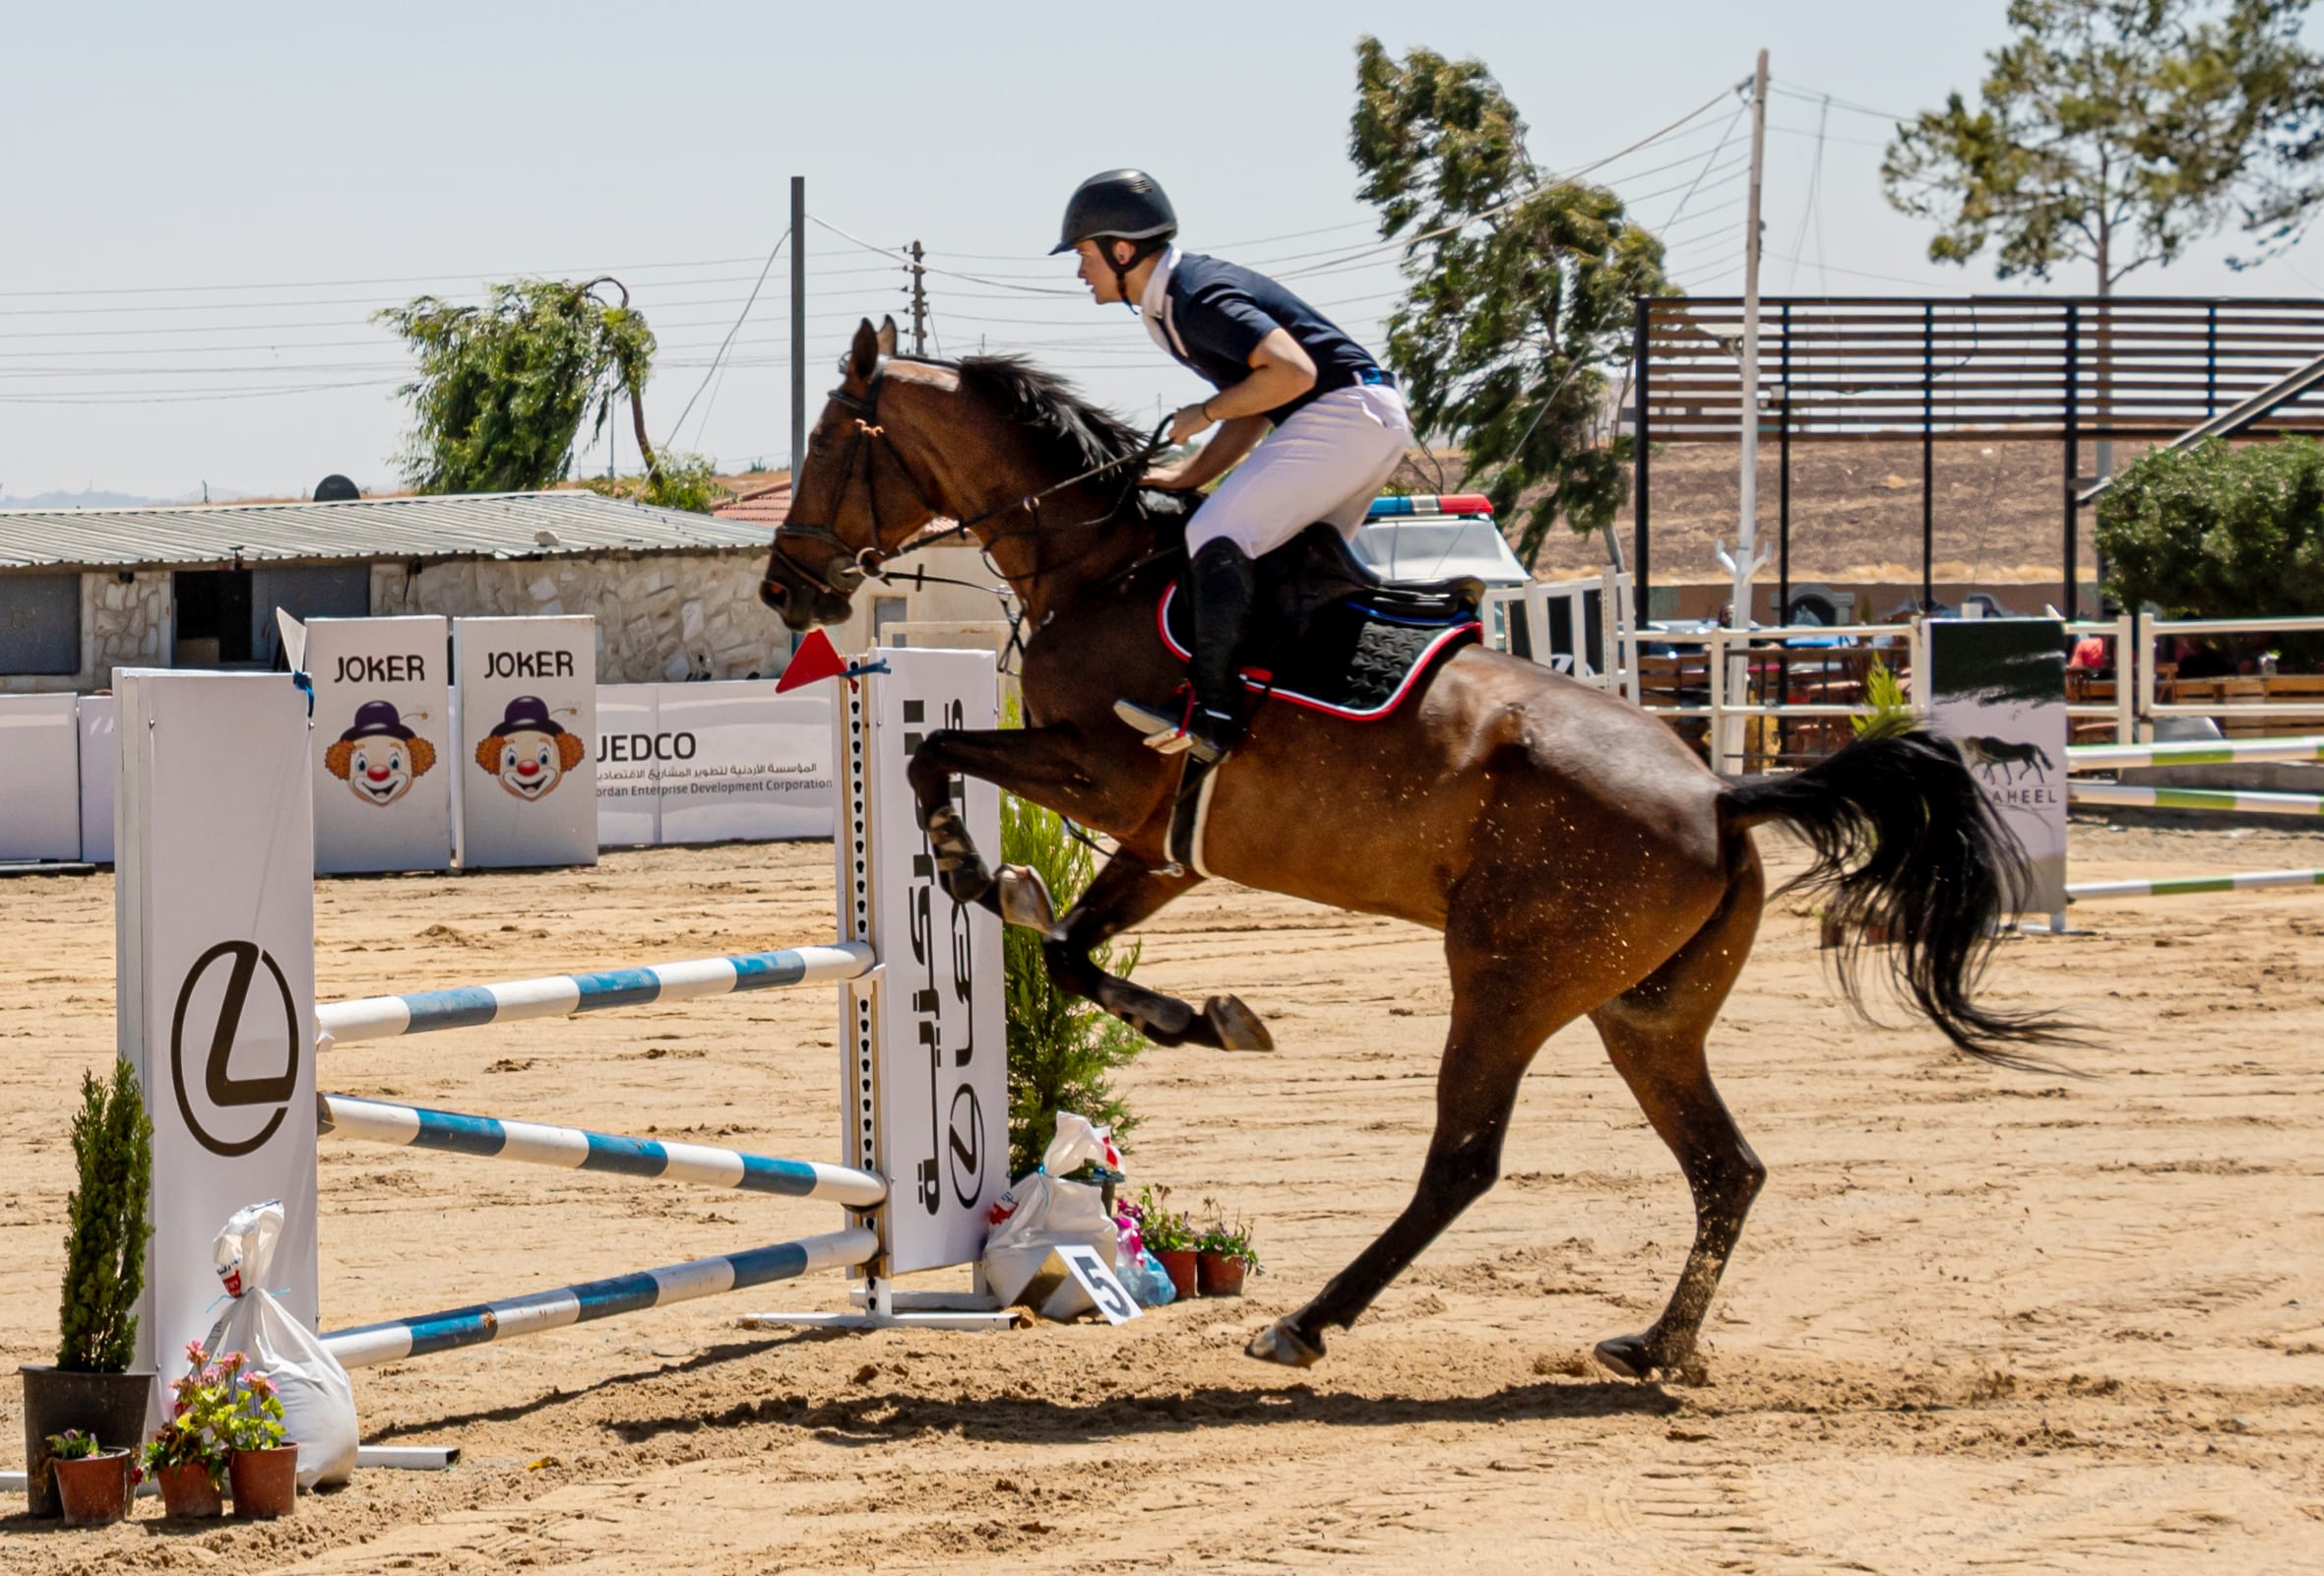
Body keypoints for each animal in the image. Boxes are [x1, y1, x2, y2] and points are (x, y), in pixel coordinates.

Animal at [761, 317, 2058, 1376]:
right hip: (1642, 1014)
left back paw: (1307, 1322)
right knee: (1724, 1166)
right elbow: (1072, 951)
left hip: (1505, 980)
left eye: (826, 437)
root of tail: (1720, 794)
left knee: (1467, 1160)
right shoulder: (1164, 845)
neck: (1100, 565)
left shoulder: (1109, 772)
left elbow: (936, 758)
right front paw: (1187, 1006)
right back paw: (1655, 1346)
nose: (783, 585)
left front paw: (966, 862)